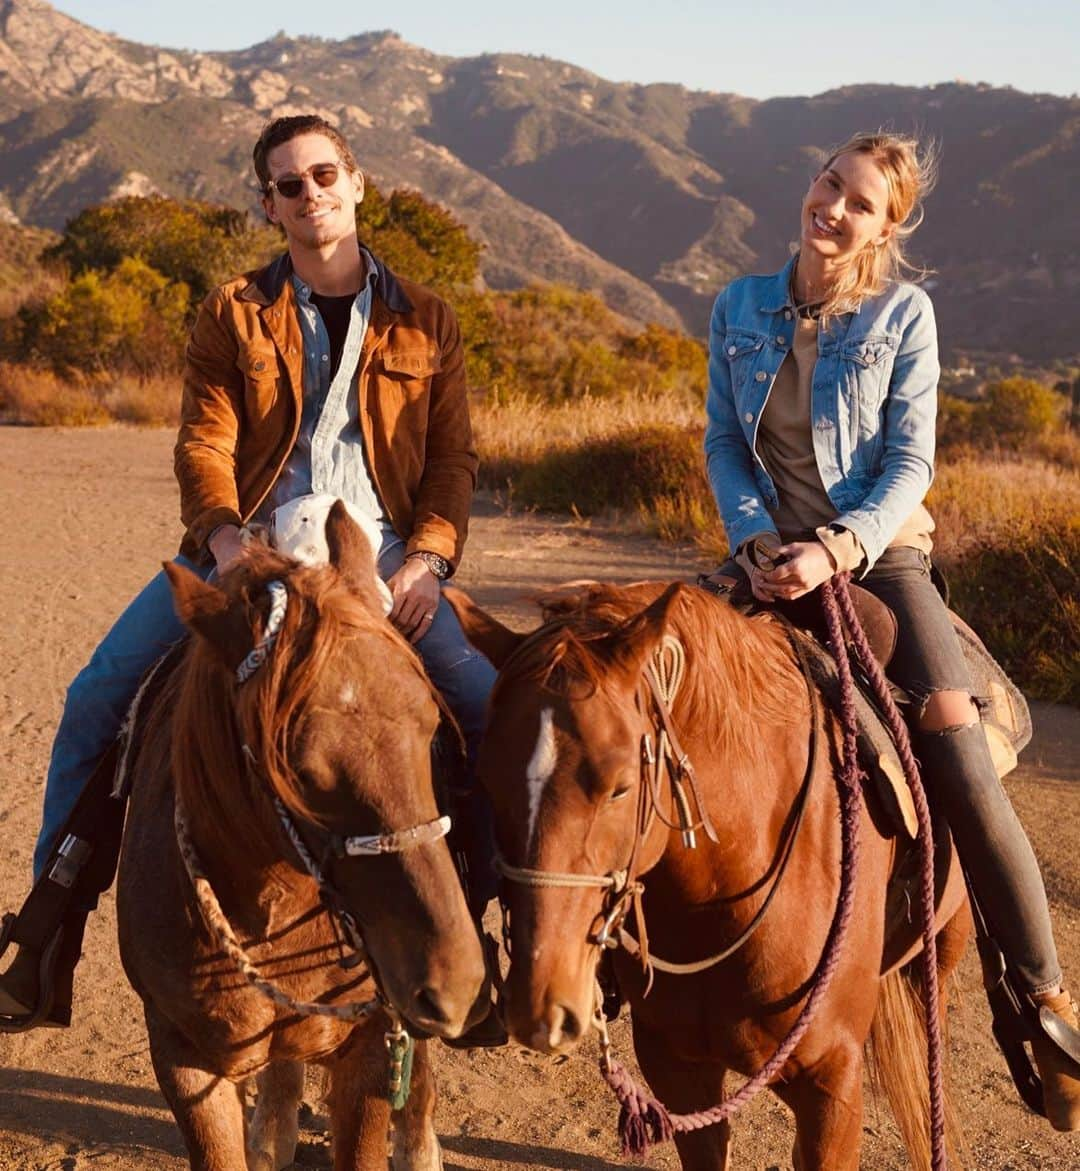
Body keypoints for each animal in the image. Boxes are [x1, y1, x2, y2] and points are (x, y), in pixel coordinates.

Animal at [118, 505, 487, 1171]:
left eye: (431, 728)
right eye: (300, 769)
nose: (457, 979)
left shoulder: (371, 1044)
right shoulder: (182, 1057)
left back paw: (417, 1142)